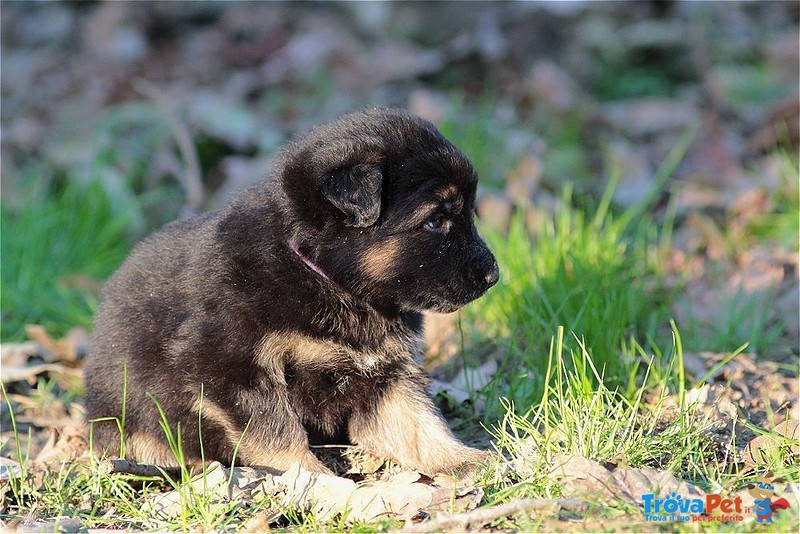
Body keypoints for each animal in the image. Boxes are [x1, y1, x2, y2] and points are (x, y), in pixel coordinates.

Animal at [87, 109, 500, 478]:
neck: (327, 279)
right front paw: (316, 480)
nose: (494, 275)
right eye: (435, 220)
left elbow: (418, 424)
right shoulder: (231, 369)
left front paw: (462, 461)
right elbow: (276, 433)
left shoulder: (386, 373)